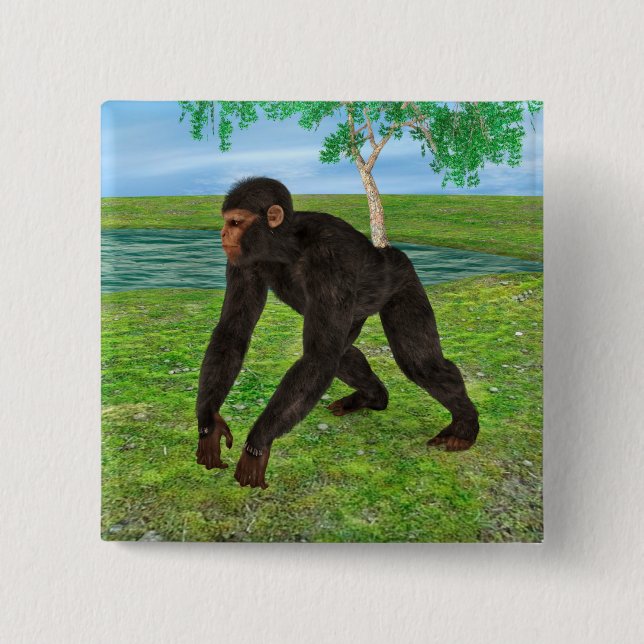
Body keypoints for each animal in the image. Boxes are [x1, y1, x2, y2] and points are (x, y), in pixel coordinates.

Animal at [196, 177, 479, 489]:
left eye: (235, 221)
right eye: (227, 221)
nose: (223, 233)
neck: (285, 246)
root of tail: (388, 251)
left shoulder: (330, 262)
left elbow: (319, 356)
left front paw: (257, 444)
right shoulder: (242, 263)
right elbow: (233, 332)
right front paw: (209, 425)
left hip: (403, 279)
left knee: (420, 363)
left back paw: (464, 425)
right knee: (343, 354)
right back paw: (374, 397)